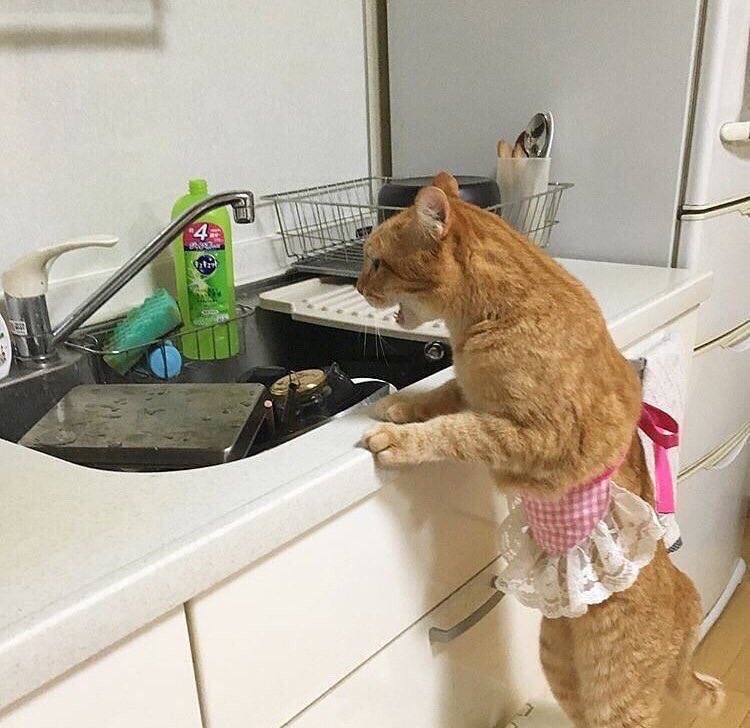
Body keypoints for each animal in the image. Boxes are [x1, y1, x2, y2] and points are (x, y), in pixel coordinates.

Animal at [360, 173, 728, 724]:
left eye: (377, 262)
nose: (358, 287)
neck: (490, 313)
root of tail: (690, 606)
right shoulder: (471, 392)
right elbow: (442, 394)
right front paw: (398, 404)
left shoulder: (533, 436)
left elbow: (455, 431)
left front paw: (399, 440)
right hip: (559, 664)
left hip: (615, 699)